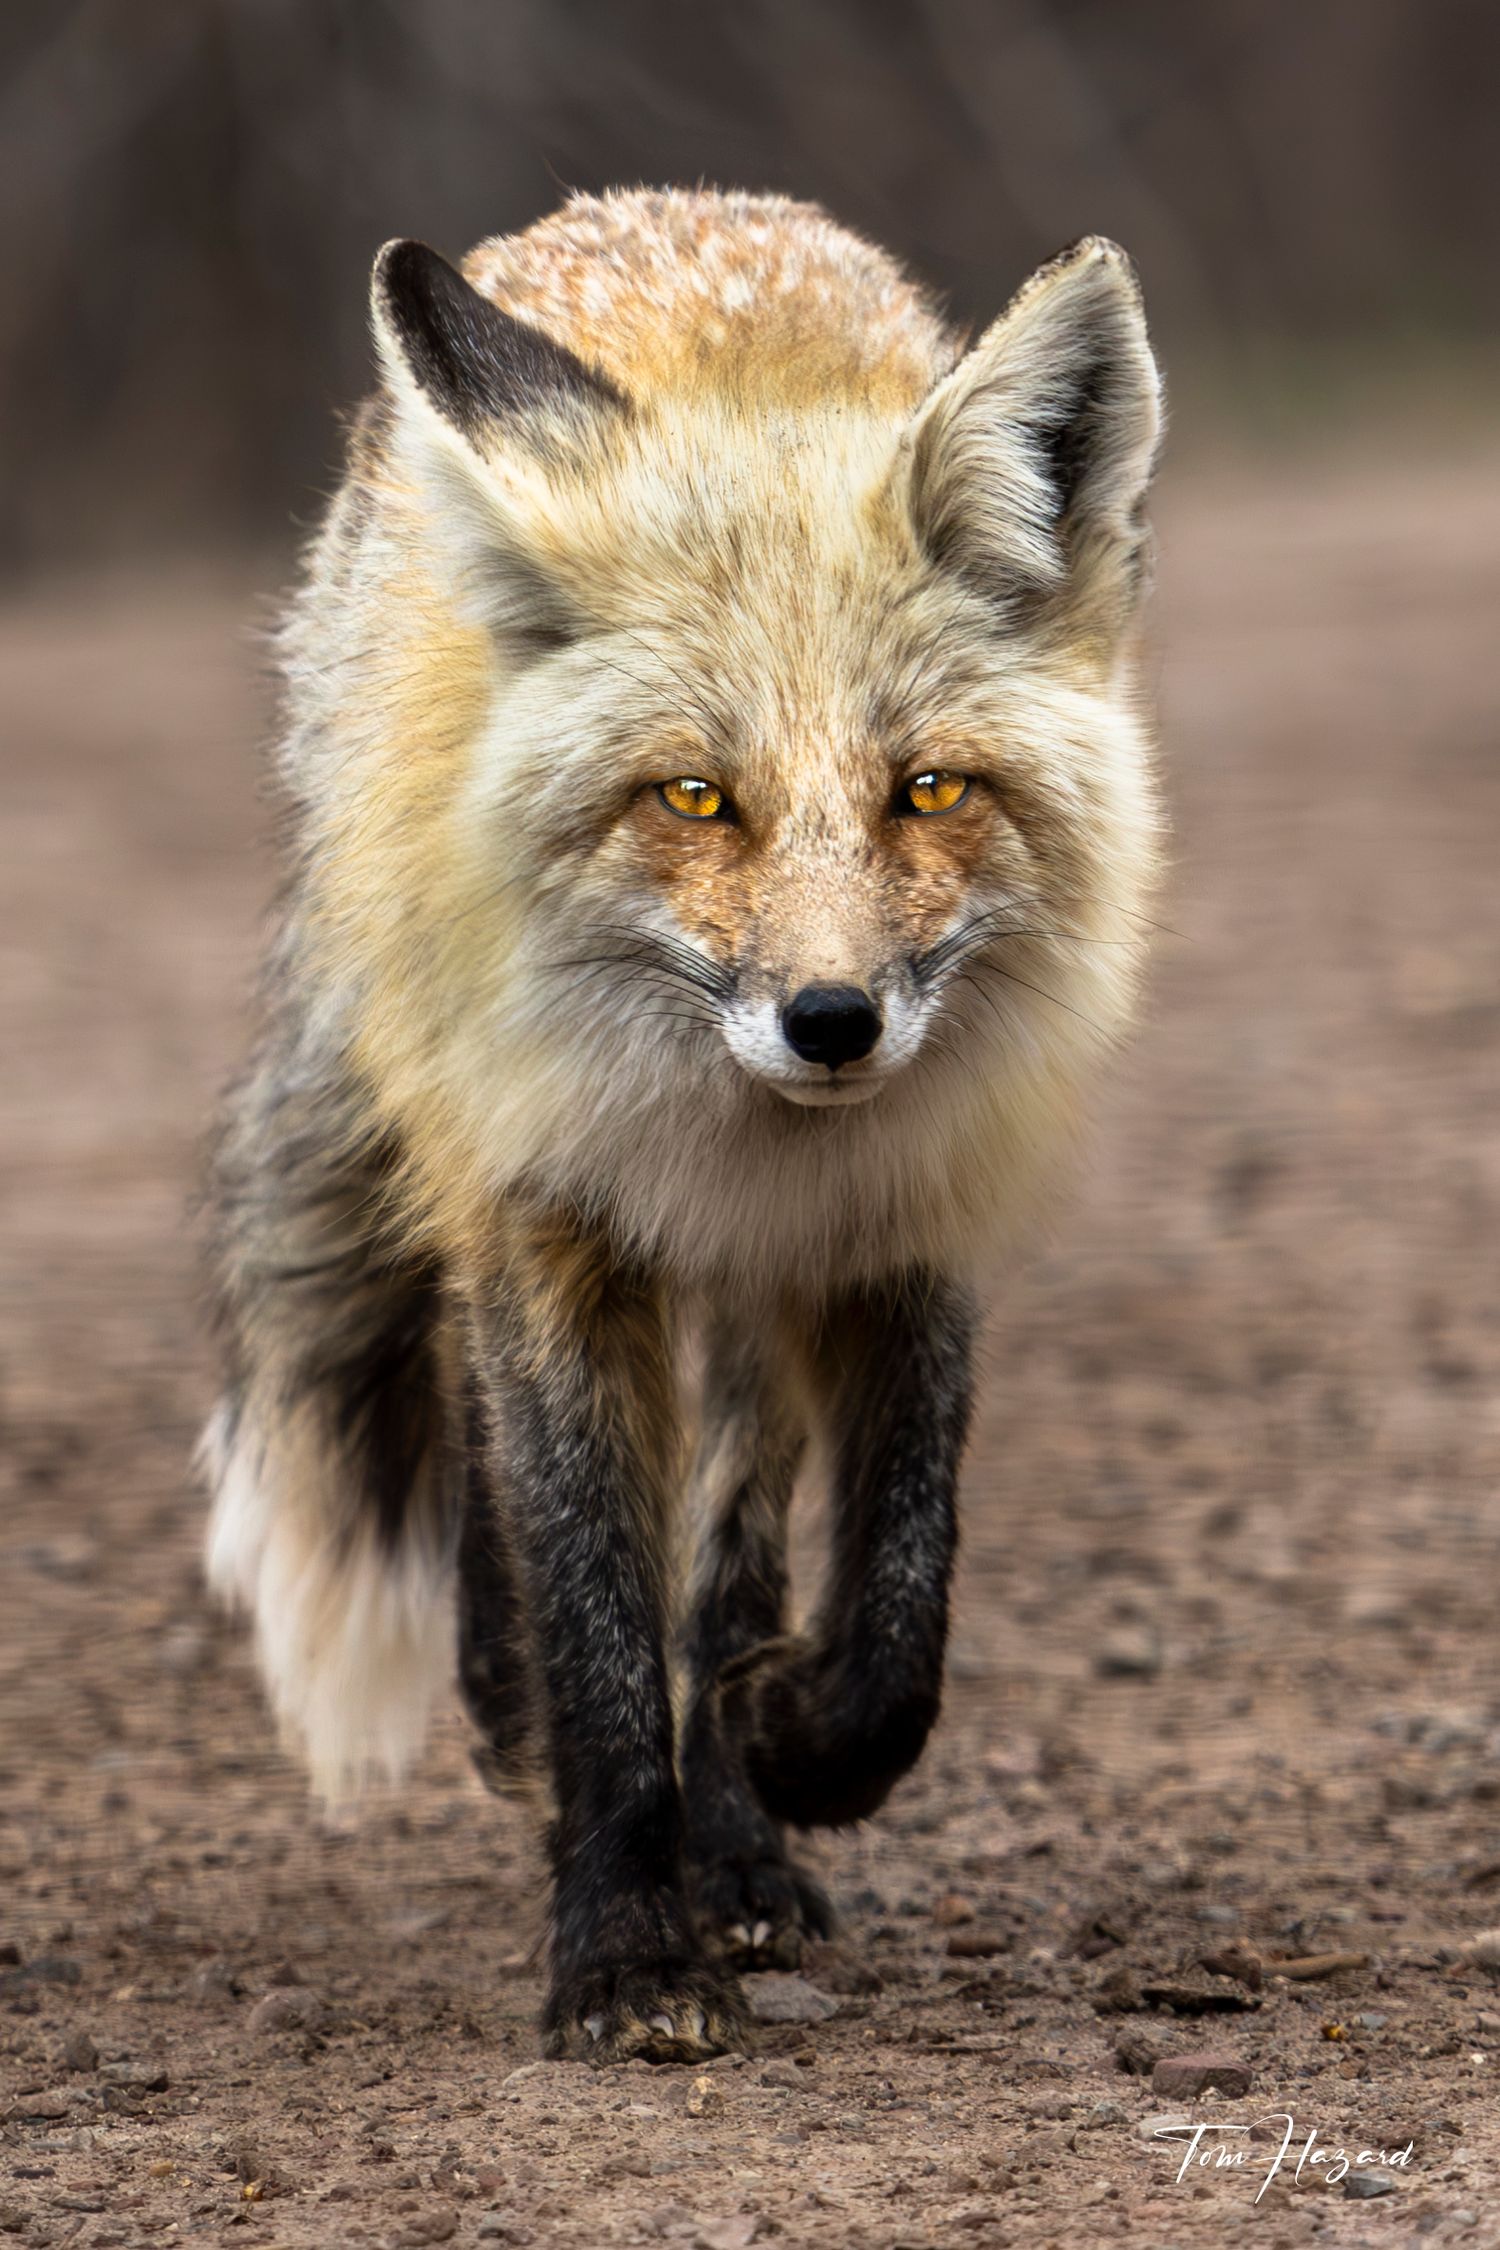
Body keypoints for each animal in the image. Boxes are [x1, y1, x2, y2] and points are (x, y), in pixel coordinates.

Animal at [201, 187, 1163, 2063]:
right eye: (697, 797)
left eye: (929, 789)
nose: (832, 1021)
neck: (748, 1137)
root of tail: (648, 207)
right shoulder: (551, 1209)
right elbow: (589, 1592)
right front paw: (622, 1940)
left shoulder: (898, 1218)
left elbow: (890, 1601)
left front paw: (780, 1759)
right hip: (471, 1157)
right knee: (475, 1416)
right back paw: (517, 1718)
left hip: (738, 1304)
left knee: (727, 1548)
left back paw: (740, 1837)